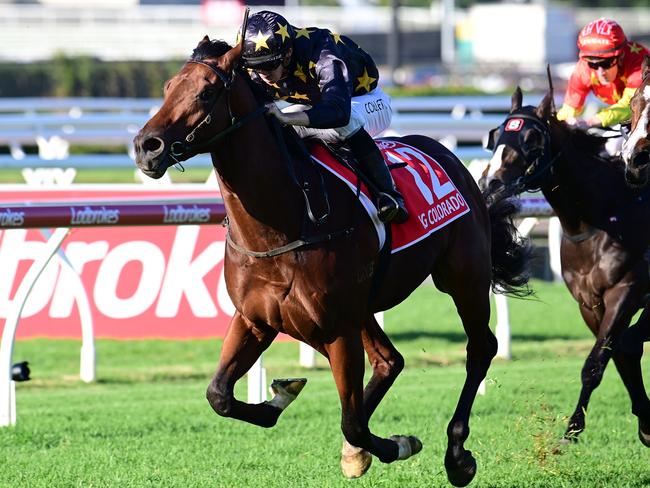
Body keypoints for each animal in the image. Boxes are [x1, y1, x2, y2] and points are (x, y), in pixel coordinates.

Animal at [134, 36, 528, 486]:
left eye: (205, 92)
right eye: (167, 88)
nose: (146, 147)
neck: (286, 222)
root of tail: (449, 158)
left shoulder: (336, 329)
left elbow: (352, 421)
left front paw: (397, 444)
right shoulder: (257, 319)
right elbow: (219, 395)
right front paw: (283, 396)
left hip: (464, 277)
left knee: (479, 348)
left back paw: (457, 454)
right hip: (361, 307)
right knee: (389, 361)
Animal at [480, 86, 650, 446]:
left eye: (532, 138)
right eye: (497, 134)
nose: (491, 184)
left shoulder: (626, 289)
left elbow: (597, 362)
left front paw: (572, 428)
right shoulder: (590, 302)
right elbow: (617, 355)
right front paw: (646, 421)